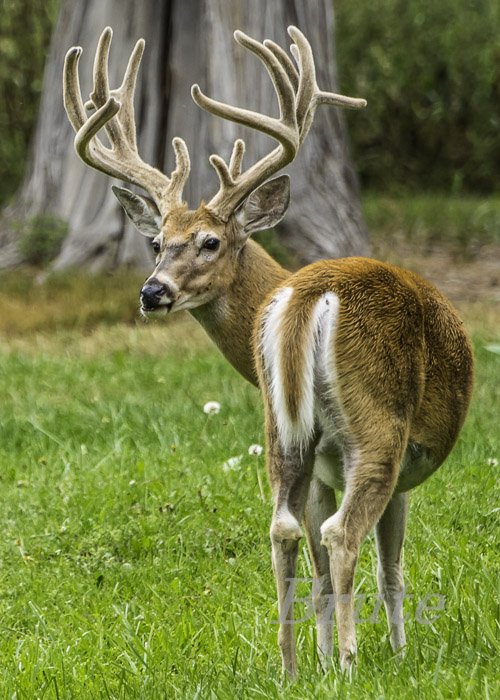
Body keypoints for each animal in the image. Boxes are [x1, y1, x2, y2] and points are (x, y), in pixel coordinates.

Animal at [64, 28, 474, 680]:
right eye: (157, 242)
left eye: (208, 241)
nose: (153, 291)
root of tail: (308, 294)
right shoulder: (398, 471)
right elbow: (390, 569)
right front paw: (393, 653)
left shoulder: (322, 467)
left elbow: (319, 576)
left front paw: (323, 656)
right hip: (378, 424)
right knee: (341, 535)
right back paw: (350, 662)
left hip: (283, 431)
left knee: (284, 528)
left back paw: (290, 665)